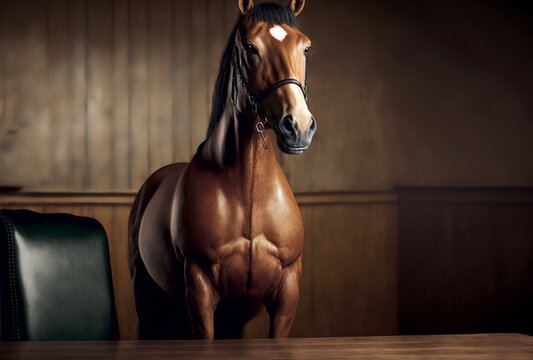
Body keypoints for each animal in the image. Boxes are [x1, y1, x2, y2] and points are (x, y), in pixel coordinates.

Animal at [126, 0, 314, 338]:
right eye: (250, 48)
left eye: (305, 48)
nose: (299, 126)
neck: (248, 193)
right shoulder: (200, 289)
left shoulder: (287, 292)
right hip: (146, 295)